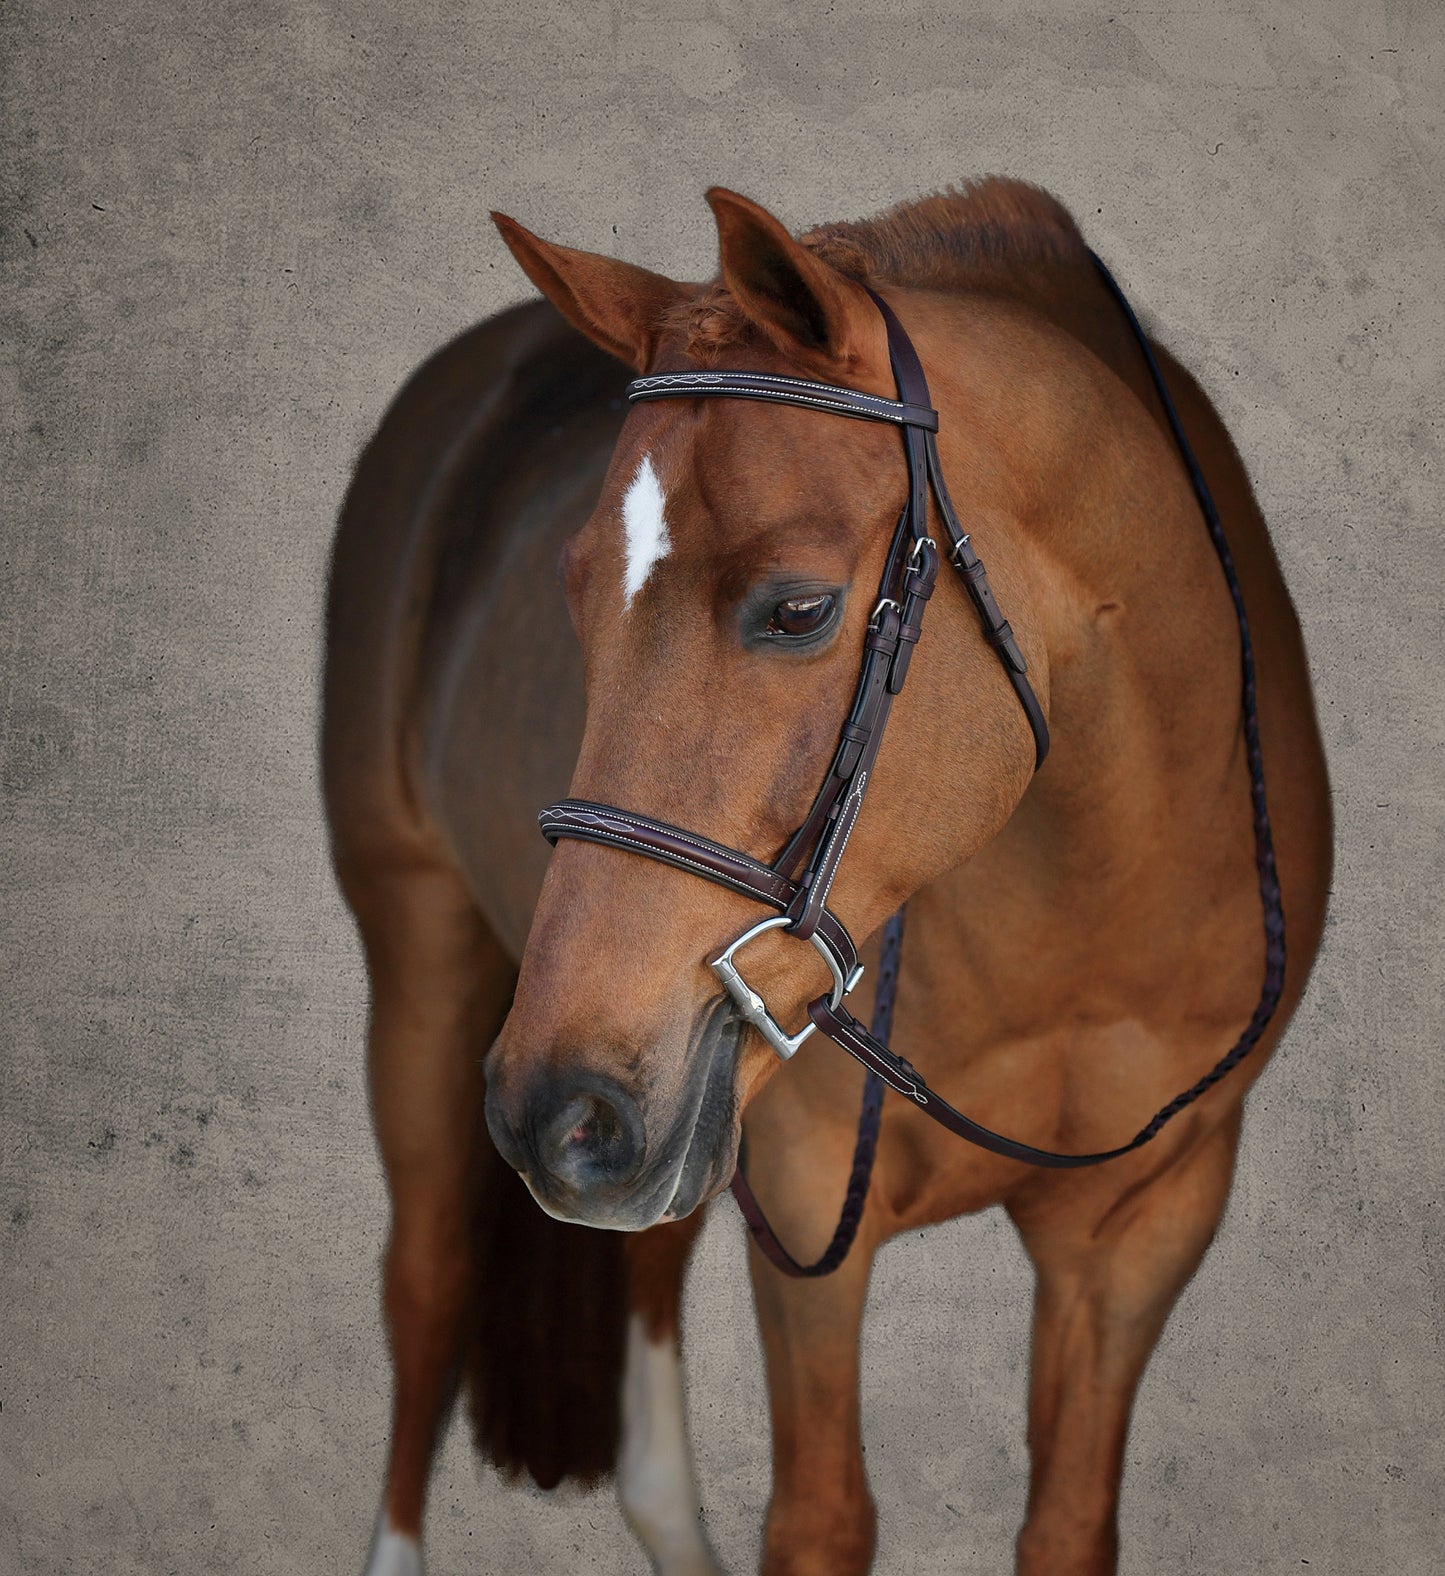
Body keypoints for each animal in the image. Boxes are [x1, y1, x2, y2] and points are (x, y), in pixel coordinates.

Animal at [323, 179, 1332, 1576]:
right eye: (572, 596)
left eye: (796, 611)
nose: (551, 1110)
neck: (1084, 918)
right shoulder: (806, 1212)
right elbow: (821, 1520)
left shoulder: (1143, 1224)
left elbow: (1068, 1523)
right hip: (426, 951)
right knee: (425, 1286)